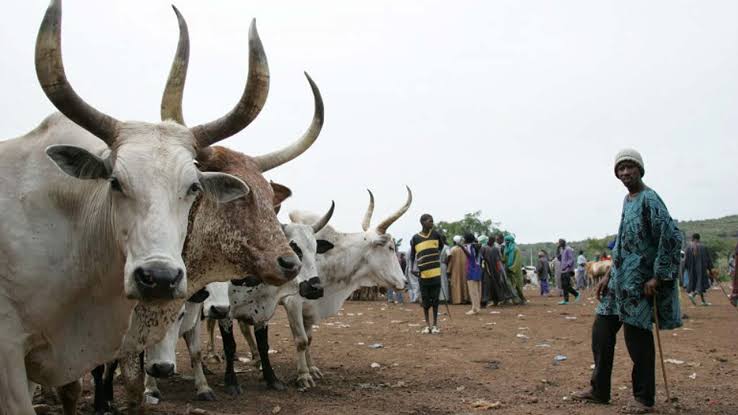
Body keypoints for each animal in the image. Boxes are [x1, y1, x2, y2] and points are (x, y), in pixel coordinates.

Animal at [284, 188, 408, 390]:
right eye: (390, 247)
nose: (405, 282)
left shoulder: (310, 307)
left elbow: (309, 339)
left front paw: (312, 369)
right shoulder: (292, 302)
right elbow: (301, 341)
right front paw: (303, 376)